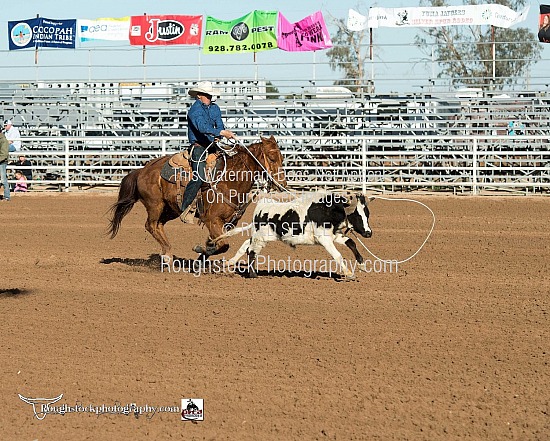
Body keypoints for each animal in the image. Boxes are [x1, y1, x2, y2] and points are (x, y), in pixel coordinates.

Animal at [109, 134, 288, 258]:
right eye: (272, 158)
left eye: (282, 158)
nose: (282, 184)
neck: (230, 180)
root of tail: (142, 170)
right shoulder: (212, 220)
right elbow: (223, 245)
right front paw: (199, 249)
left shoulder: (229, 223)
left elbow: (217, 243)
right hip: (155, 205)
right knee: (150, 225)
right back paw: (167, 253)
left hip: (170, 209)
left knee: (159, 225)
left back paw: (167, 253)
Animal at [218, 192, 374, 278]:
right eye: (357, 215)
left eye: (367, 214)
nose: (368, 233)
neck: (327, 210)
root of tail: (260, 206)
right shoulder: (324, 239)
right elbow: (338, 255)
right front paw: (349, 273)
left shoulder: (334, 235)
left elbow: (351, 242)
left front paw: (362, 265)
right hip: (260, 237)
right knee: (251, 251)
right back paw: (252, 274)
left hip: (261, 236)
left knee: (246, 245)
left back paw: (229, 263)